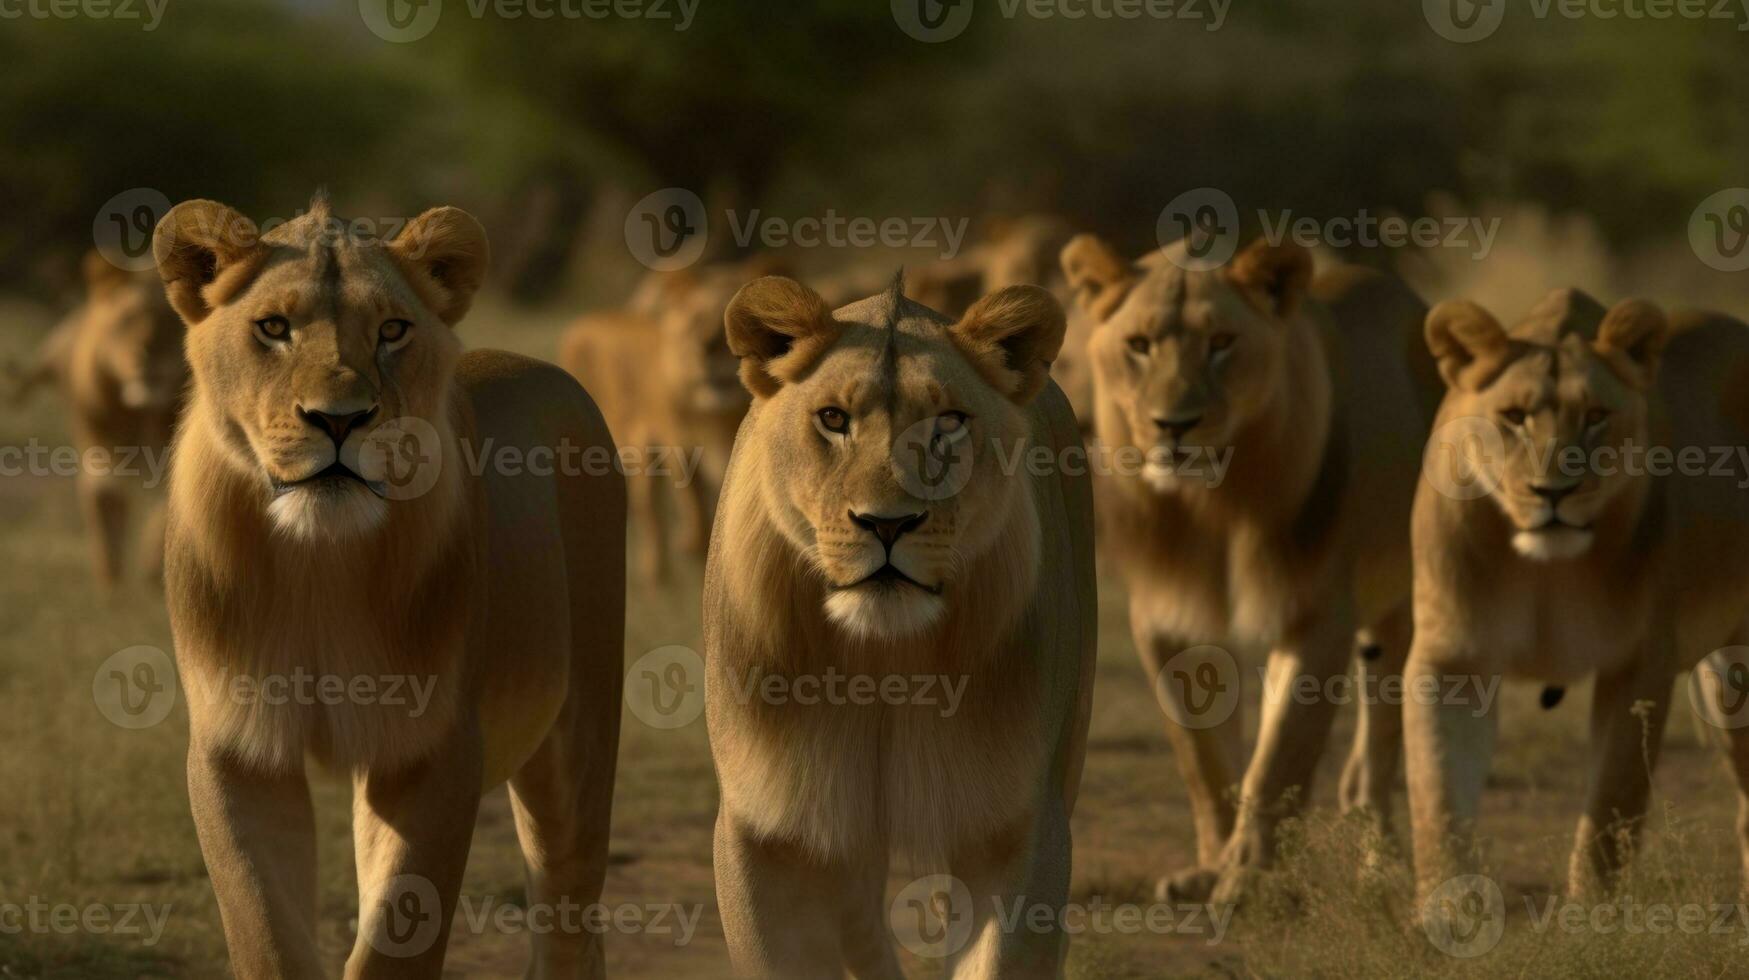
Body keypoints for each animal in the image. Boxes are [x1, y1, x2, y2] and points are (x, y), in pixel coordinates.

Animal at [8, 253, 188, 588]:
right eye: (126, 318)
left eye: (171, 320)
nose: (148, 356)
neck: (139, 411)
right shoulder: (100, 455)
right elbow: (105, 515)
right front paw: (112, 584)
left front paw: (154, 573)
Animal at [152, 195, 629, 973]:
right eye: (273, 328)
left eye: (393, 330)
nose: (339, 420)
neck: (318, 562)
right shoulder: (237, 748)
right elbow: (264, 930)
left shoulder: (432, 750)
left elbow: (395, 942)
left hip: (579, 737)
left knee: (569, 918)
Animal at [699, 271, 1091, 973]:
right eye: (833, 419)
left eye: (948, 424)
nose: (887, 523)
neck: (880, 659)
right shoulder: (763, 828)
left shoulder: (1018, 824)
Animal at [1056, 232, 1441, 903]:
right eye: (1139, 345)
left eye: (1221, 343)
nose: (1173, 426)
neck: (1211, 506)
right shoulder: (1167, 623)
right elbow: (1206, 763)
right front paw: (1210, 869)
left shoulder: (1315, 617)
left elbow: (1279, 758)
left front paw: (1248, 881)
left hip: (1401, 602)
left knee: (1382, 742)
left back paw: (1379, 864)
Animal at [1399, 287, 1749, 910]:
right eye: (1514, 417)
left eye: (1595, 418)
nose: (1553, 492)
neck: (1546, 568)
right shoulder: (1451, 657)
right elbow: (1437, 793)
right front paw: (1448, 911)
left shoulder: (1638, 665)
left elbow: (1610, 810)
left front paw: (1592, 917)